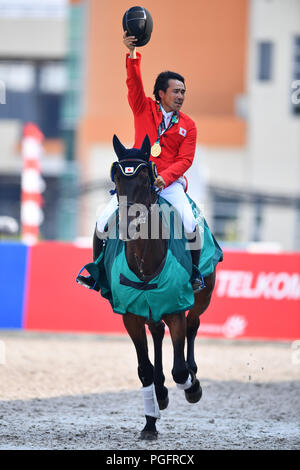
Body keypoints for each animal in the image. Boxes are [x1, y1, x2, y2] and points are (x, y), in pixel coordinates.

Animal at [78, 133, 221, 440]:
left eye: (145, 177)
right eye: (117, 177)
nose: (127, 224)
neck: (144, 257)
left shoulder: (176, 310)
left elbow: (180, 369)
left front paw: (191, 386)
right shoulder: (131, 316)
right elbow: (144, 368)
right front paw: (150, 422)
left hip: (201, 297)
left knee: (193, 325)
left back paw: (191, 378)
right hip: (151, 308)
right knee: (156, 334)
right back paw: (161, 391)